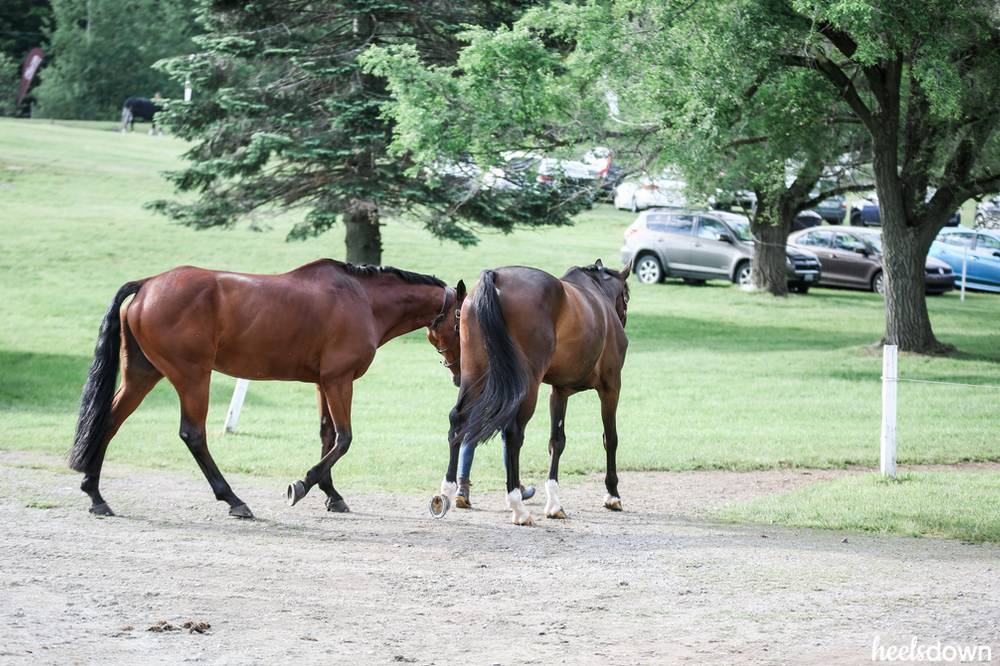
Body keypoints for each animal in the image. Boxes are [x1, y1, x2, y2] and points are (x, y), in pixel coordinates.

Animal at [68, 256, 466, 516]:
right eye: (463, 319)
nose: (462, 374)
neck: (363, 300)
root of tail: (148, 284)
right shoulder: (339, 381)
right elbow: (343, 439)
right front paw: (302, 485)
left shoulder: (324, 383)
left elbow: (327, 436)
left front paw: (331, 493)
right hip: (192, 376)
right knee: (193, 434)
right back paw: (233, 500)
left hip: (143, 374)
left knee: (108, 423)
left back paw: (96, 496)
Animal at [432, 260, 632, 524]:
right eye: (626, 297)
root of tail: (495, 277)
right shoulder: (611, 387)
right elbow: (610, 438)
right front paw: (612, 495)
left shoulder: (559, 392)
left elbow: (557, 441)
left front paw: (555, 504)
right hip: (527, 386)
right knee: (513, 434)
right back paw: (517, 505)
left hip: (474, 375)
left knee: (458, 420)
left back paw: (446, 491)